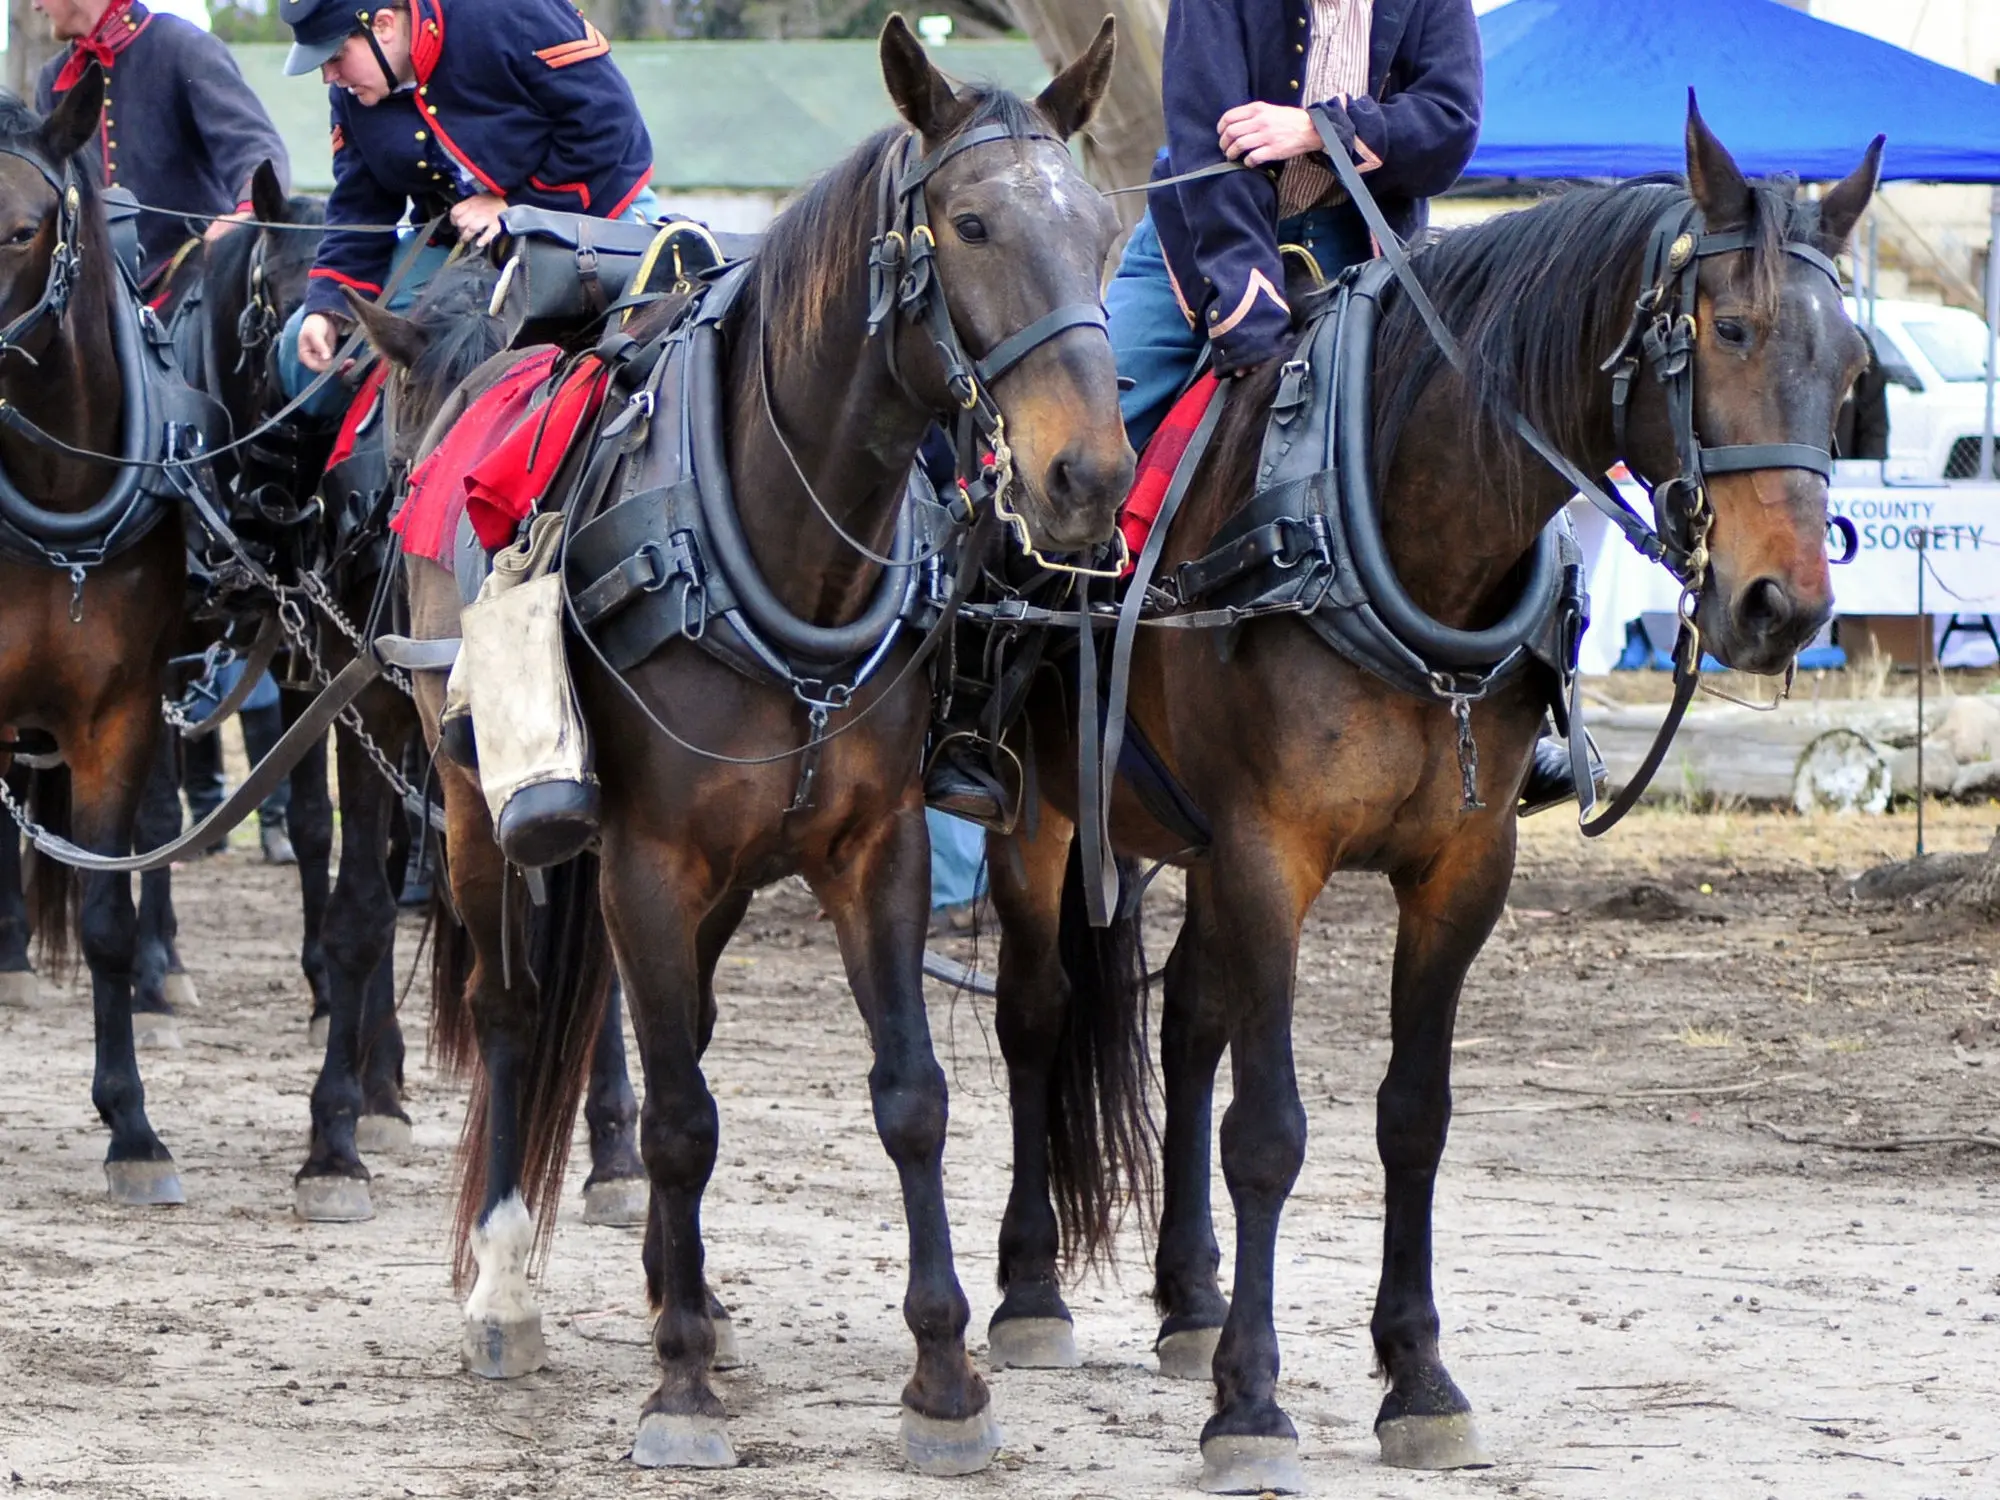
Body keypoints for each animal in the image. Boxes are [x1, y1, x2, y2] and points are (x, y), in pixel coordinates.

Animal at [360, 17, 1136, 1480]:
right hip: (478, 805)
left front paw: (942, 1377)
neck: (775, 547)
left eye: (1105, 228)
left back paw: (690, 1290)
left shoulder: (873, 852)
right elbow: (672, 1118)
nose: (1092, 478)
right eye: (970, 221)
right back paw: (507, 1288)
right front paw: (675, 1387)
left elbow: (906, 1096)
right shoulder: (645, 859)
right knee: (512, 1010)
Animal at [976, 106, 1880, 1496]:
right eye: (1727, 330)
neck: (1385, 529)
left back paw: (1189, 1301)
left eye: (1847, 365)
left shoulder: (1457, 874)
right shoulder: (1267, 854)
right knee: (1034, 1017)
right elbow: (1269, 1130)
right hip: (1042, 820)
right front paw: (1252, 1405)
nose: (1782, 606)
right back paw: (1031, 1293)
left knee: (1184, 1027)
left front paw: (1415, 1376)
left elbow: (1413, 1118)